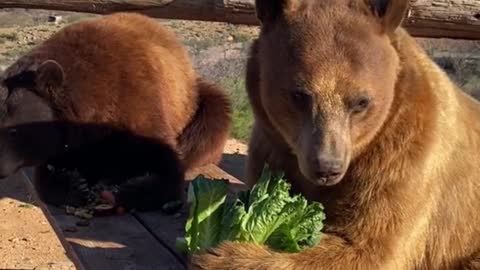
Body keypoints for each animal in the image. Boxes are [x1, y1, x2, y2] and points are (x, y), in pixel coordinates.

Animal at [0, 13, 232, 213]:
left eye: (13, 131)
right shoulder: (68, 140)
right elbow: (48, 173)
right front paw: (75, 185)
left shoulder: (138, 100)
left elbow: (165, 163)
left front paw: (126, 190)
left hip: (193, 100)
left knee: (210, 121)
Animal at [191, 0, 480, 270]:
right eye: (299, 95)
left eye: (361, 102)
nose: (327, 167)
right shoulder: (274, 147)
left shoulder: (406, 159)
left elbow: (368, 247)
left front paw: (220, 256)